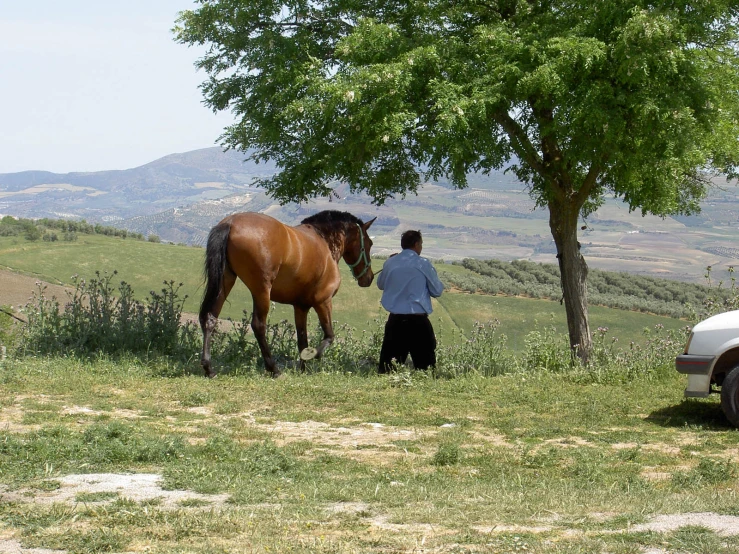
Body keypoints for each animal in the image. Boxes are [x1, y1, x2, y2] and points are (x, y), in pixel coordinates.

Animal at [198, 209, 376, 378]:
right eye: (369, 243)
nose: (369, 278)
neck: (324, 241)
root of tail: (230, 222)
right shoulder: (323, 301)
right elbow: (328, 336)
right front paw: (312, 356)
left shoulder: (301, 307)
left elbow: (302, 340)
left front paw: (303, 370)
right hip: (261, 291)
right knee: (258, 326)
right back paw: (274, 369)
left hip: (225, 282)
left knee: (210, 318)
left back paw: (209, 369)